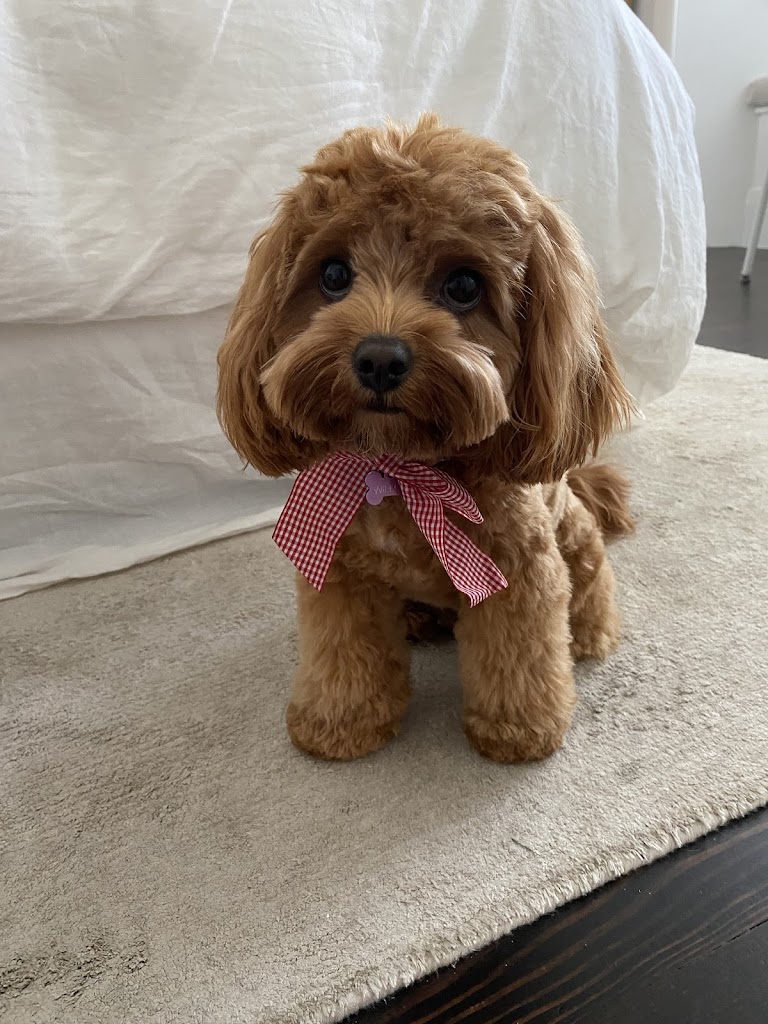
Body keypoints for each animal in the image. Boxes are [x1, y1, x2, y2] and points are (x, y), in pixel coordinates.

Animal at [217, 114, 635, 763]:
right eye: (333, 274)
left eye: (463, 285)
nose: (379, 359)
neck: (400, 469)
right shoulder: (343, 575)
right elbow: (344, 656)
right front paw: (340, 722)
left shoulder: (520, 575)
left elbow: (520, 658)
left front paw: (519, 729)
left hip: (575, 543)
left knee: (590, 584)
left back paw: (589, 634)